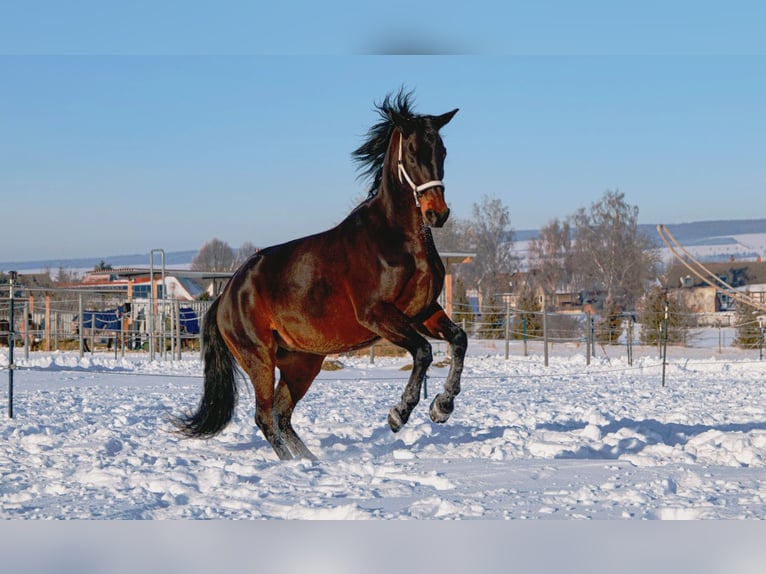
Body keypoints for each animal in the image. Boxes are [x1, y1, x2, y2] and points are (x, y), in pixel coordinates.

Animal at [173, 90, 466, 460]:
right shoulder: (377, 314)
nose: (437, 213)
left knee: (282, 414)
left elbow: (459, 340)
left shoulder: (424, 312)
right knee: (265, 417)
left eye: (442, 151)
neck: (398, 241)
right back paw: (293, 466)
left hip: (302, 362)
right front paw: (399, 414)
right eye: (412, 153)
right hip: (259, 358)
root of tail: (225, 296)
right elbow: (424, 351)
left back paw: (311, 462)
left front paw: (442, 407)